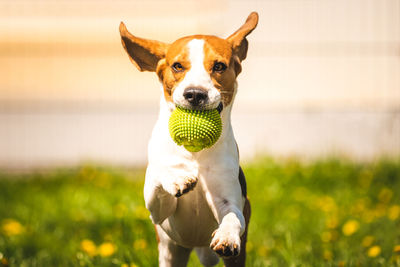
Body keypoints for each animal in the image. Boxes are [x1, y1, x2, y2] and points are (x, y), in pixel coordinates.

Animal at [119, 11, 258, 266]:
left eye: (219, 66)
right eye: (177, 66)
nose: (195, 94)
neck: (195, 152)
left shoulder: (229, 199)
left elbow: (232, 216)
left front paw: (227, 235)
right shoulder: (157, 211)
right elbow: (159, 177)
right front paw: (176, 178)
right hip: (170, 251)